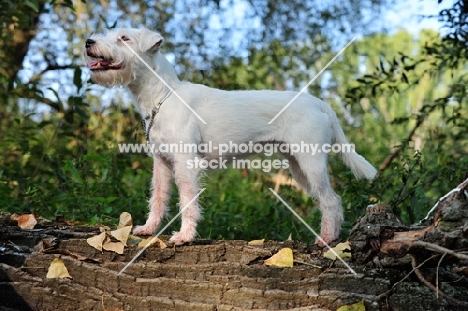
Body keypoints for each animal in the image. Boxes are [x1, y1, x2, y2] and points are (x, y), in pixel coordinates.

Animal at [84, 27, 376, 246]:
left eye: (124, 37)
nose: (88, 42)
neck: (163, 96)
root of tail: (320, 104)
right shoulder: (162, 164)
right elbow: (158, 198)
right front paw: (148, 228)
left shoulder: (186, 163)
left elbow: (187, 200)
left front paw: (184, 236)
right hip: (299, 166)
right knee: (331, 200)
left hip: (311, 162)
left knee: (331, 200)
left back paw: (326, 240)